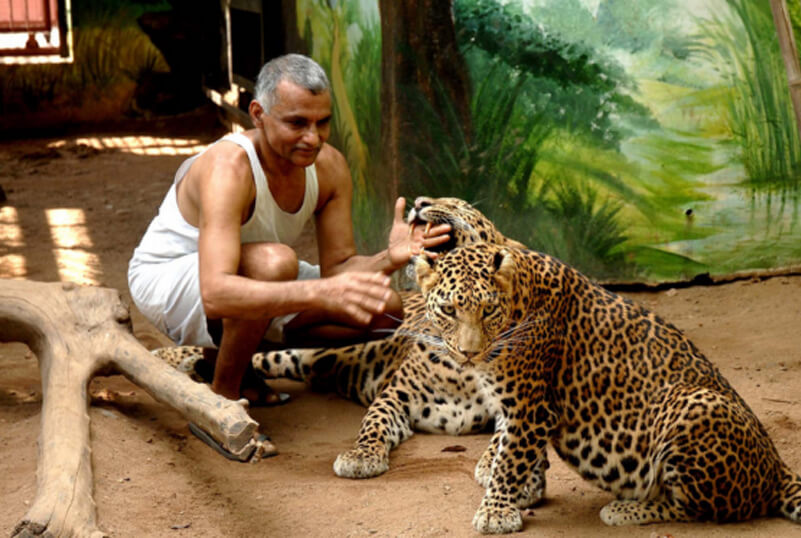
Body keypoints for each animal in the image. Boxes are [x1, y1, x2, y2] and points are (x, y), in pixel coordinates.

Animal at [406, 242, 801, 532]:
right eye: (448, 310)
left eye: (488, 311)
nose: (469, 353)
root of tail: (775, 467)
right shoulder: (515, 404)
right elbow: (511, 447)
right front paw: (525, 492)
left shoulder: (531, 407)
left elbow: (511, 459)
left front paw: (496, 510)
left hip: (693, 405)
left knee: (696, 508)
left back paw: (627, 509)